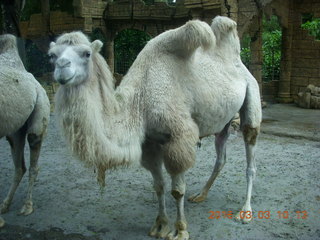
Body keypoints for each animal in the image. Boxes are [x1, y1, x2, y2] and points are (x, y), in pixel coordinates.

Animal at [0, 33, 50, 227]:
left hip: (39, 110)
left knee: (33, 159)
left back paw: (27, 206)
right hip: (15, 130)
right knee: (19, 164)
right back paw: (5, 205)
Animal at [48, 15, 262, 239]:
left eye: (86, 53)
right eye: (51, 56)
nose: (62, 67)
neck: (140, 102)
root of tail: (240, 64)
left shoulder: (178, 138)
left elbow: (177, 190)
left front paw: (180, 230)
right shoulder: (149, 142)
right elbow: (158, 186)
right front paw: (160, 225)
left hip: (252, 97)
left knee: (250, 157)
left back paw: (245, 211)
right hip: (222, 122)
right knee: (221, 156)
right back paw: (200, 195)